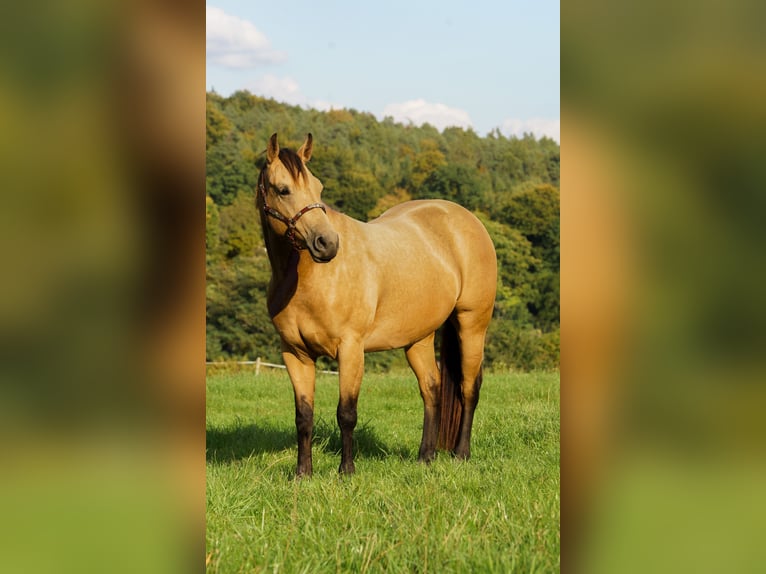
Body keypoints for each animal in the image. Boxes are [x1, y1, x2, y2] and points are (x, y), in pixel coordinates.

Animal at [256, 133, 497, 476]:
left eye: (319, 187)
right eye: (282, 189)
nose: (326, 244)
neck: (308, 279)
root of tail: (466, 219)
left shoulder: (351, 349)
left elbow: (346, 413)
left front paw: (346, 471)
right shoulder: (295, 354)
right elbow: (304, 416)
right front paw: (303, 474)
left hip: (473, 324)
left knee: (468, 387)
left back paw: (461, 454)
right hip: (418, 338)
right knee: (432, 388)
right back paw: (425, 457)